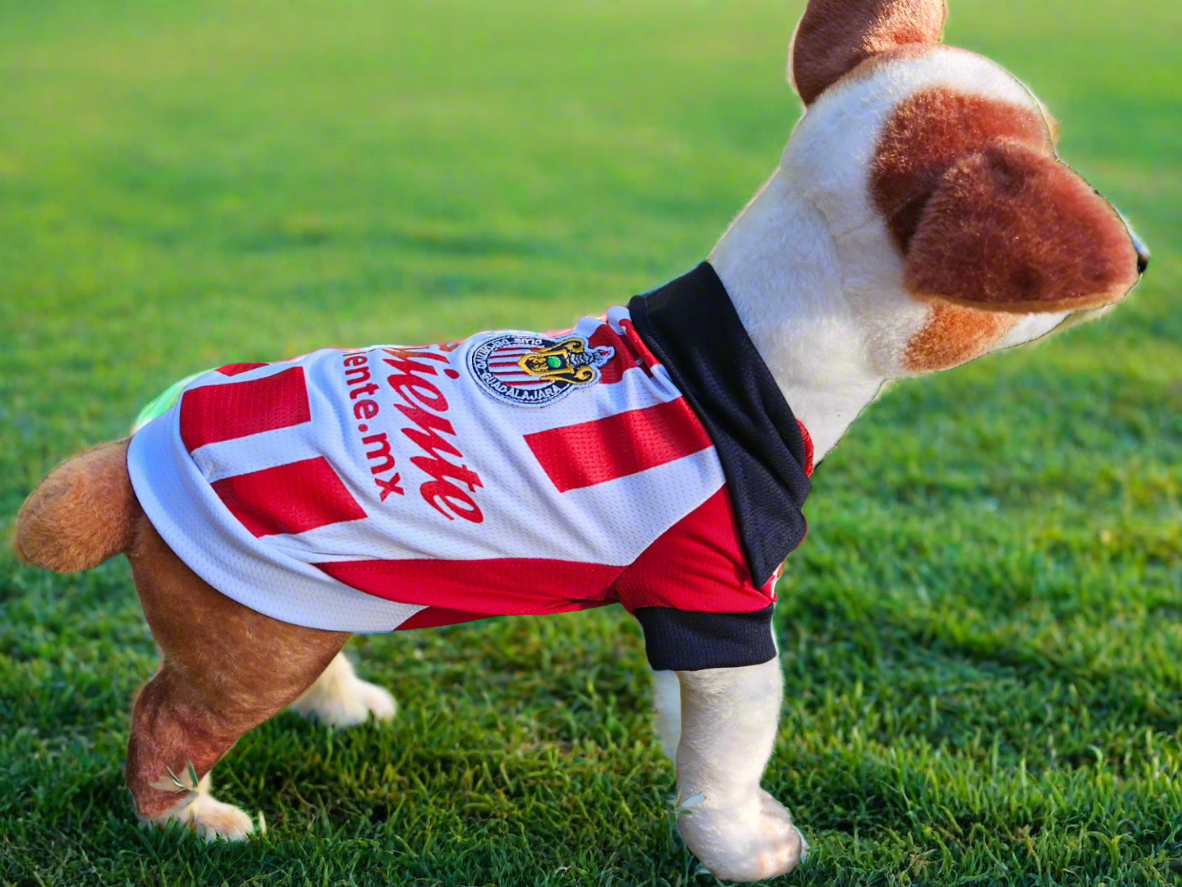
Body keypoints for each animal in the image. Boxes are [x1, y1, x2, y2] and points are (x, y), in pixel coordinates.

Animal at [13, 0, 1148, 884]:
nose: (1140, 253)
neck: (748, 346)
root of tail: (127, 458)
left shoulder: (686, 619)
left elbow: (693, 726)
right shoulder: (726, 607)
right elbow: (736, 750)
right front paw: (741, 847)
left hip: (293, 610)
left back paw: (344, 708)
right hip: (241, 650)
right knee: (161, 716)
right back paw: (189, 819)